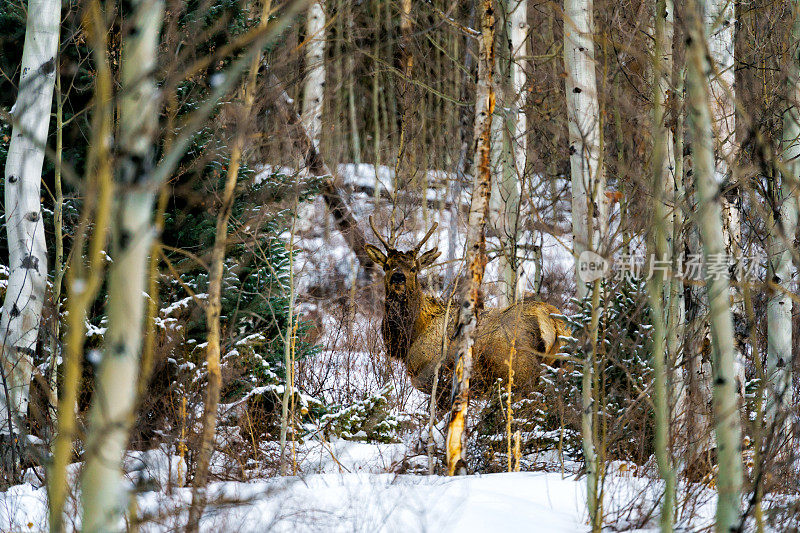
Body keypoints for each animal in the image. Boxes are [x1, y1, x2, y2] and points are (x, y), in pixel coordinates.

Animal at [366, 217, 572, 408]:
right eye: (387, 266)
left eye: (413, 268)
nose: (398, 278)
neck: (411, 336)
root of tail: (554, 323)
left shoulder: (436, 379)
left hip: (521, 375)